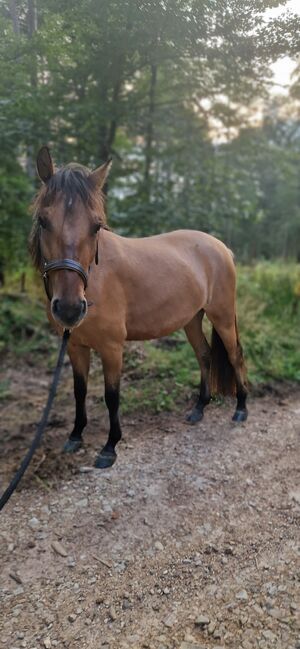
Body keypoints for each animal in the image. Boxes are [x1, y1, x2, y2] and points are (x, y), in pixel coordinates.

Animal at [29, 147, 247, 468]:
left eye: (96, 226)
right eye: (44, 221)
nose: (69, 309)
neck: (94, 279)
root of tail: (220, 247)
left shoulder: (111, 347)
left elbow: (112, 396)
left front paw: (109, 447)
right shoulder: (75, 346)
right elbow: (80, 390)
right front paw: (75, 436)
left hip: (222, 316)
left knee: (234, 355)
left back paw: (241, 408)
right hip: (192, 320)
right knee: (205, 355)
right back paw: (198, 410)